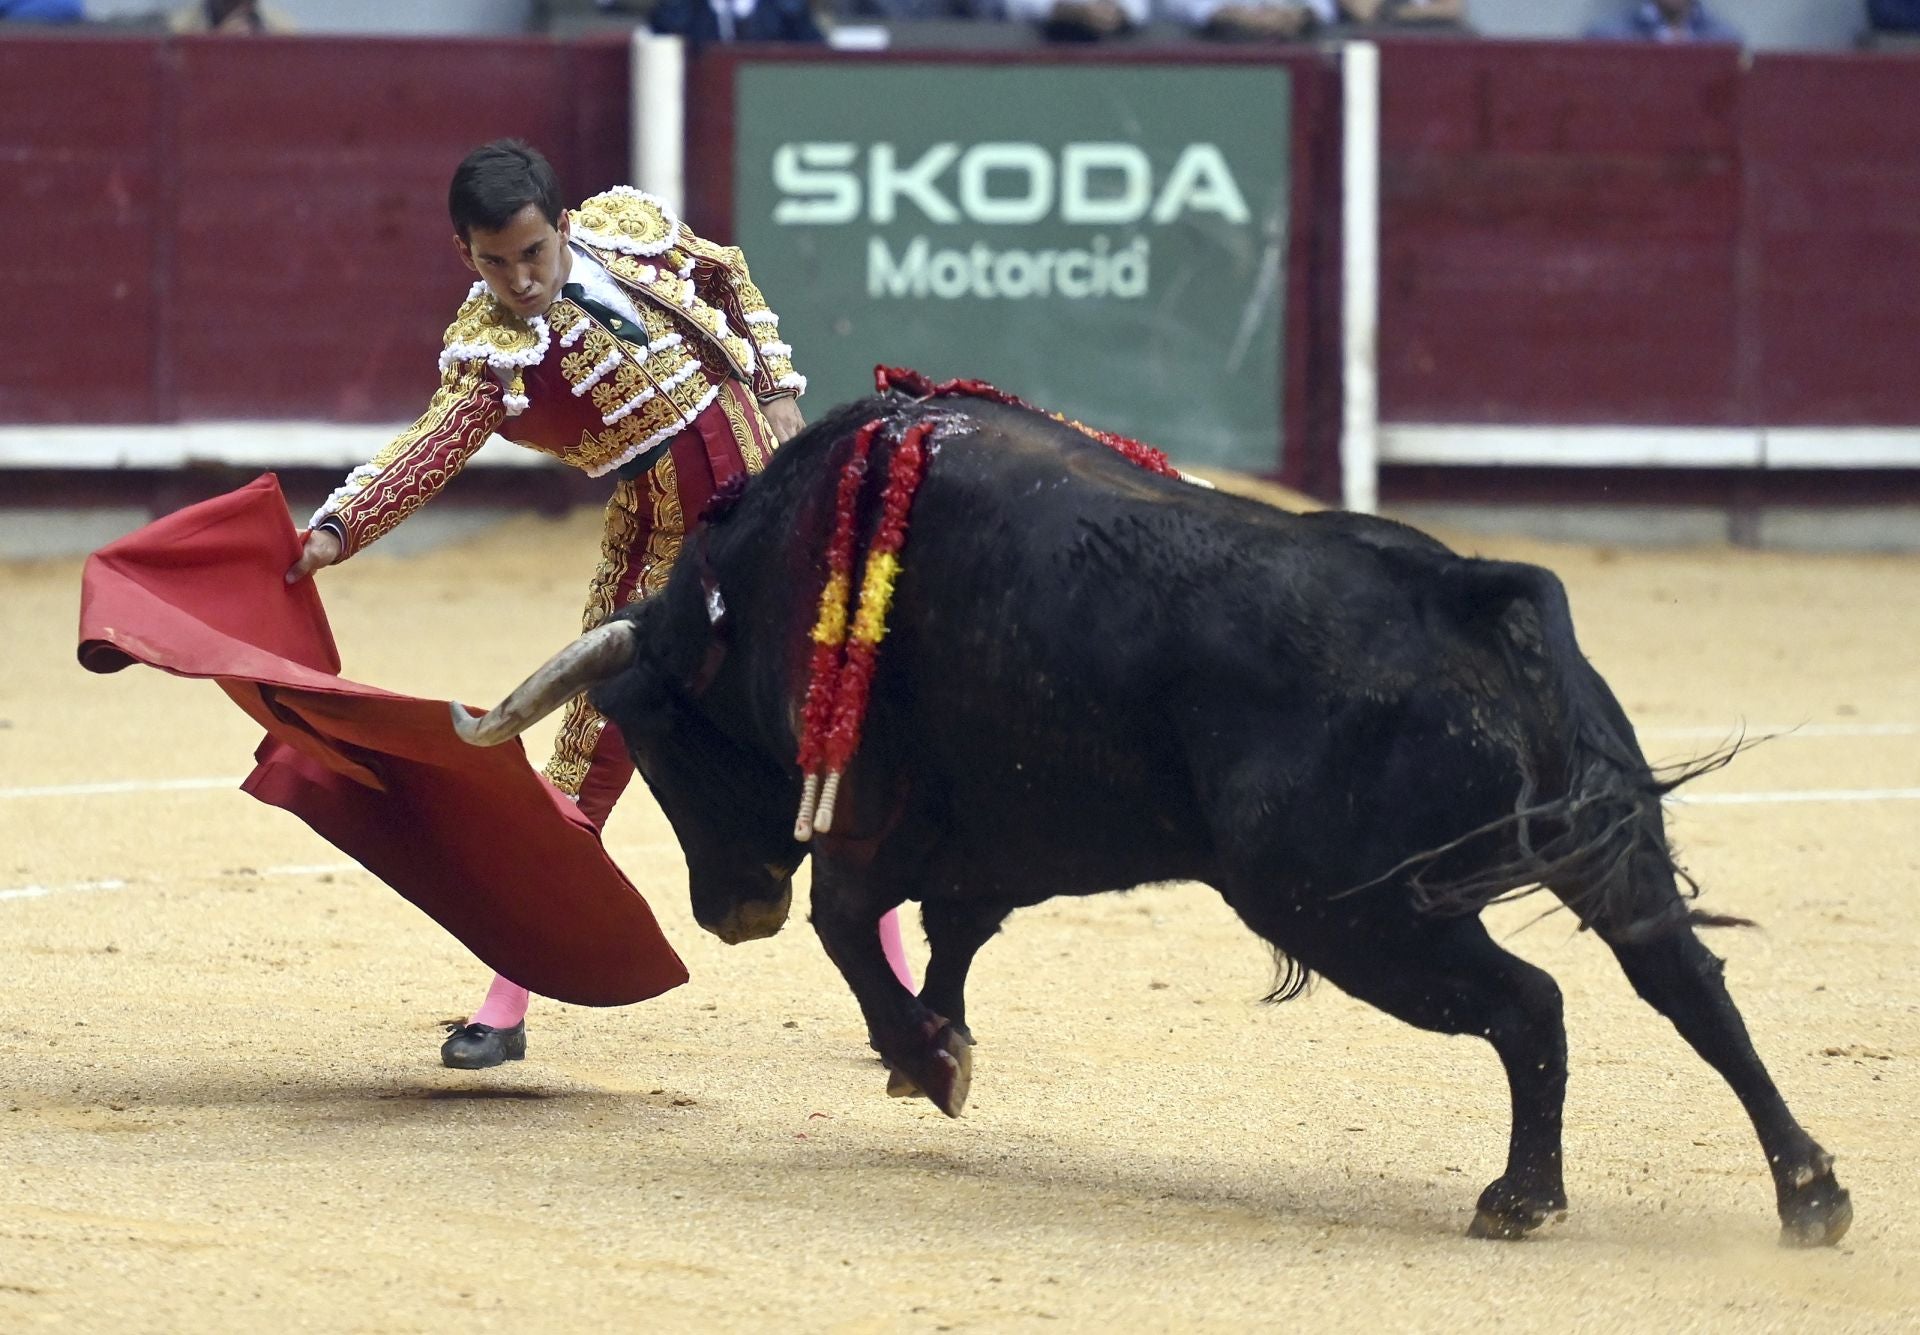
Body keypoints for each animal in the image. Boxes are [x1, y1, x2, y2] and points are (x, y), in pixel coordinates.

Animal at [449, 391, 1843, 1244]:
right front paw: (937, 1047)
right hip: (1593, 850)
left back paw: (1523, 1198)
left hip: (1352, 913)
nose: (728, 912)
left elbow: (852, 924)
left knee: (1531, 1006)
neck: (781, 575)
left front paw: (928, 1060)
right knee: (1686, 983)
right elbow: (949, 932)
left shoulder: (879, 821)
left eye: (658, 733)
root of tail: (1456, 587)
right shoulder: (996, 840)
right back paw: (1809, 1193)